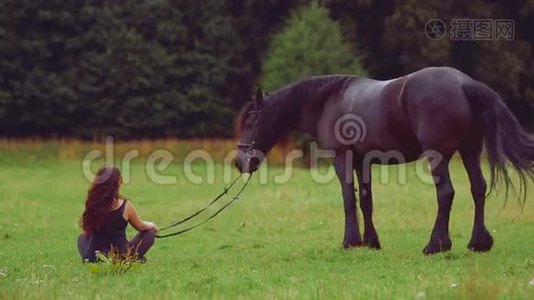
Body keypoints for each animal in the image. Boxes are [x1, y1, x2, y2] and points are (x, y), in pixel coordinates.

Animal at [238, 67, 534, 253]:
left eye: (251, 121)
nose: (240, 162)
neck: (329, 101)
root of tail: (463, 83)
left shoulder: (342, 158)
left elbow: (348, 198)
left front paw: (350, 242)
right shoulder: (362, 161)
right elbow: (366, 200)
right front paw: (371, 241)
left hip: (439, 156)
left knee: (446, 193)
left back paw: (436, 245)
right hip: (470, 151)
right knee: (478, 189)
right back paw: (478, 243)